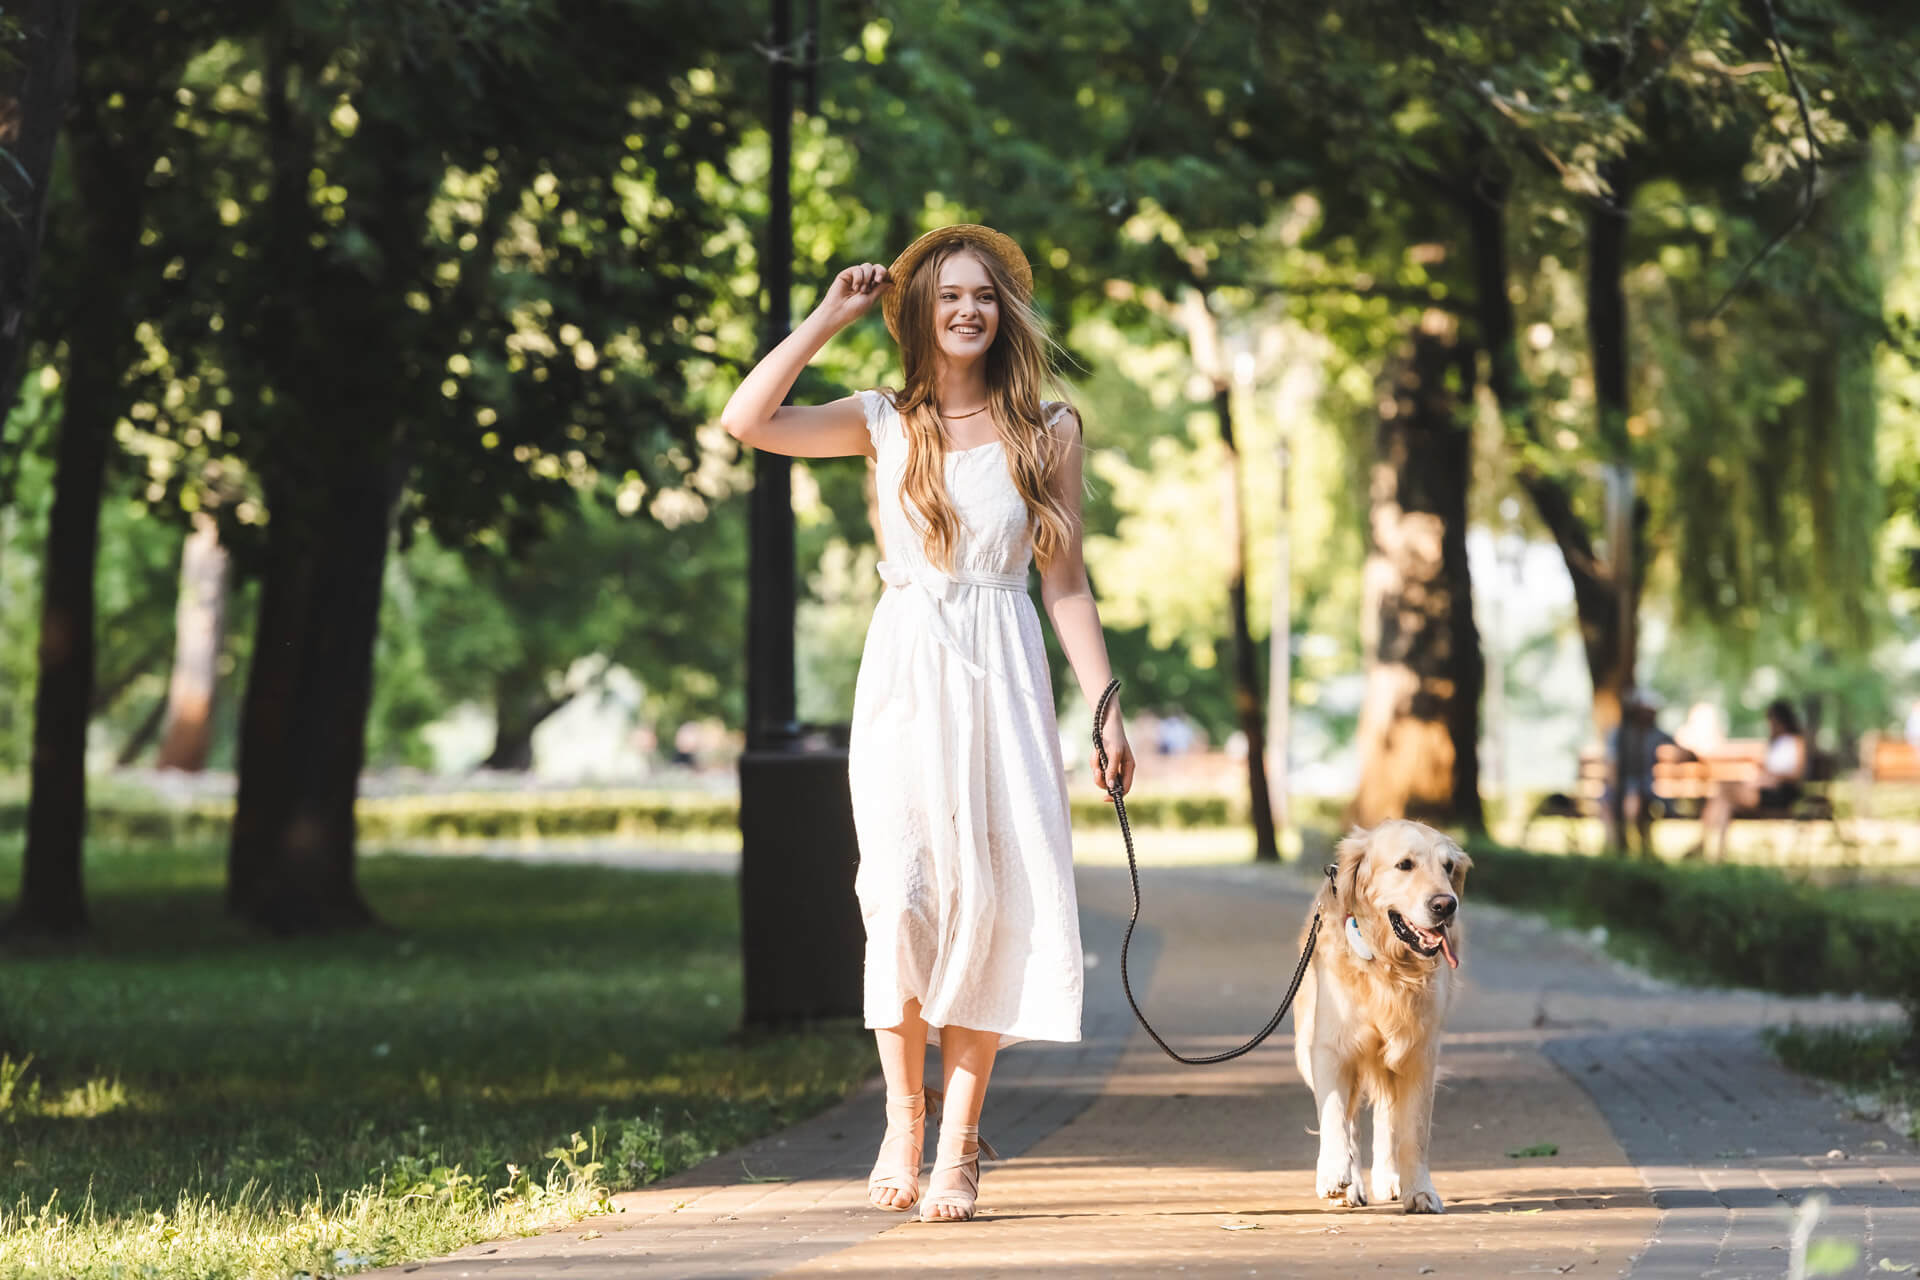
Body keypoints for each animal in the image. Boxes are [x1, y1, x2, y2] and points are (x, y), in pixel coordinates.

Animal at [1290, 825, 1466, 1220]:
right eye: (1404, 865)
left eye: (1448, 866)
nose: (1445, 905)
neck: (1389, 966)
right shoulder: (1329, 1048)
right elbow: (1334, 1115)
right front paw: (1334, 1171)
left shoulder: (1420, 1054)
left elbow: (1413, 1131)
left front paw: (1420, 1191)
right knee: (1352, 1120)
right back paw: (1349, 1184)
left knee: (1388, 1119)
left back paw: (1389, 1178)